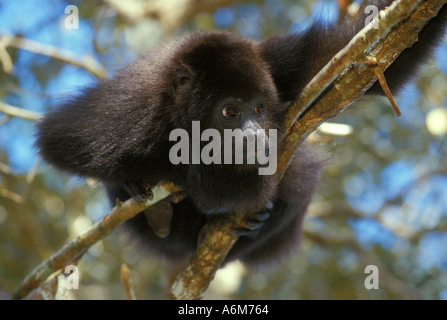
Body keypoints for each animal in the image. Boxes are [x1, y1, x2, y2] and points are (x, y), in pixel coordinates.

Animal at [36, 1, 447, 268]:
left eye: (259, 109)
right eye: (230, 112)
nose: (253, 136)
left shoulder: (278, 64)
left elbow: (375, 65)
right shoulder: (131, 110)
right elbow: (60, 140)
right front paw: (183, 175)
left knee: (299, 177)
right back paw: (155, 209)